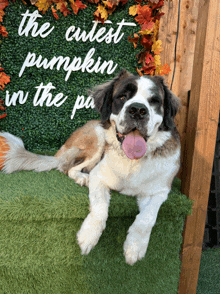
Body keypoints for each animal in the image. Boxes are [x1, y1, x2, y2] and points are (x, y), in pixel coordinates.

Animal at [1, 70, 180, 266]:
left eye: (154, 101)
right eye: (123, 97)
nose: (138, 110)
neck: (132, 162)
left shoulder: (160, 191)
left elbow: (147, 217)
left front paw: (135, 246)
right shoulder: (99, 176)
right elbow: (100, 208)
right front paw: (88, 236)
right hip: (98, 134)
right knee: (67, 167)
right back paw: (82, 178)